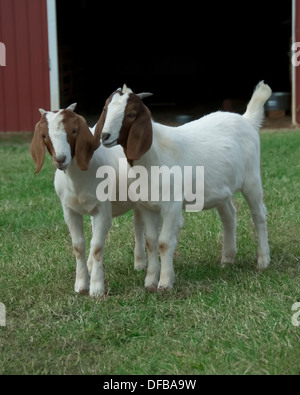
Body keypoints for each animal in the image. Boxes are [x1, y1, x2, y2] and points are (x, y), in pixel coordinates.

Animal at [30, 105, 146, 296]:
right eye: (44, 135)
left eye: (74, 131)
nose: (60, 159)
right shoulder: (69, 210)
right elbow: (79, 246)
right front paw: (81, 285)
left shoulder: (103, 209)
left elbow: (97, 246)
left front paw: (97, 288)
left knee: (138, 228)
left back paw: (140, 264)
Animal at [95, 80, 272, 292]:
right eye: (106, 109)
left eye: (130, 114)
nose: (105, 136)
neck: (153, 156)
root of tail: (247, 120)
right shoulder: (147, 206)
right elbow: (151, 242)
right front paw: (150, 281)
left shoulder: (172, 204)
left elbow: (164, 243)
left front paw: (165, 282)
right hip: (221, 189)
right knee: (229, 214)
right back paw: (228, 259)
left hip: (251, 179)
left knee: (258, 215)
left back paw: (263, 261)